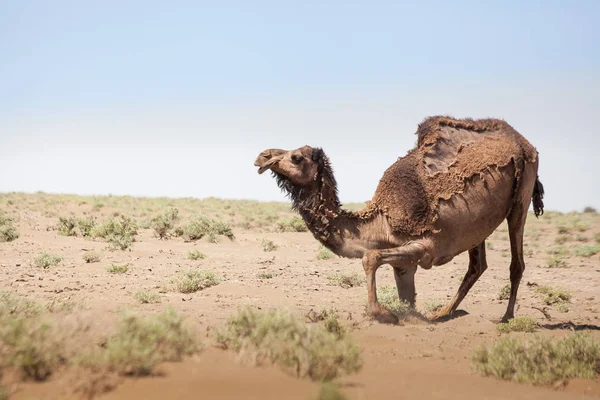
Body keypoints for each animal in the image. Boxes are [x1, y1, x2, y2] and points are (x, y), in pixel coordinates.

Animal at [253, 116, 544, 324]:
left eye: (296, 157)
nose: (262, 156)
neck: (379, 221)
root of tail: (524, 142)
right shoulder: (403, 264)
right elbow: (407, 299)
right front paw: (409, 316)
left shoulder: (425, 246)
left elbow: (370, 258)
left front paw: (383, 314)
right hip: (478, 224)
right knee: (477, 265)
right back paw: (443, 313)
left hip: (522, 192)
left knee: (516, 261)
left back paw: (506, 317)